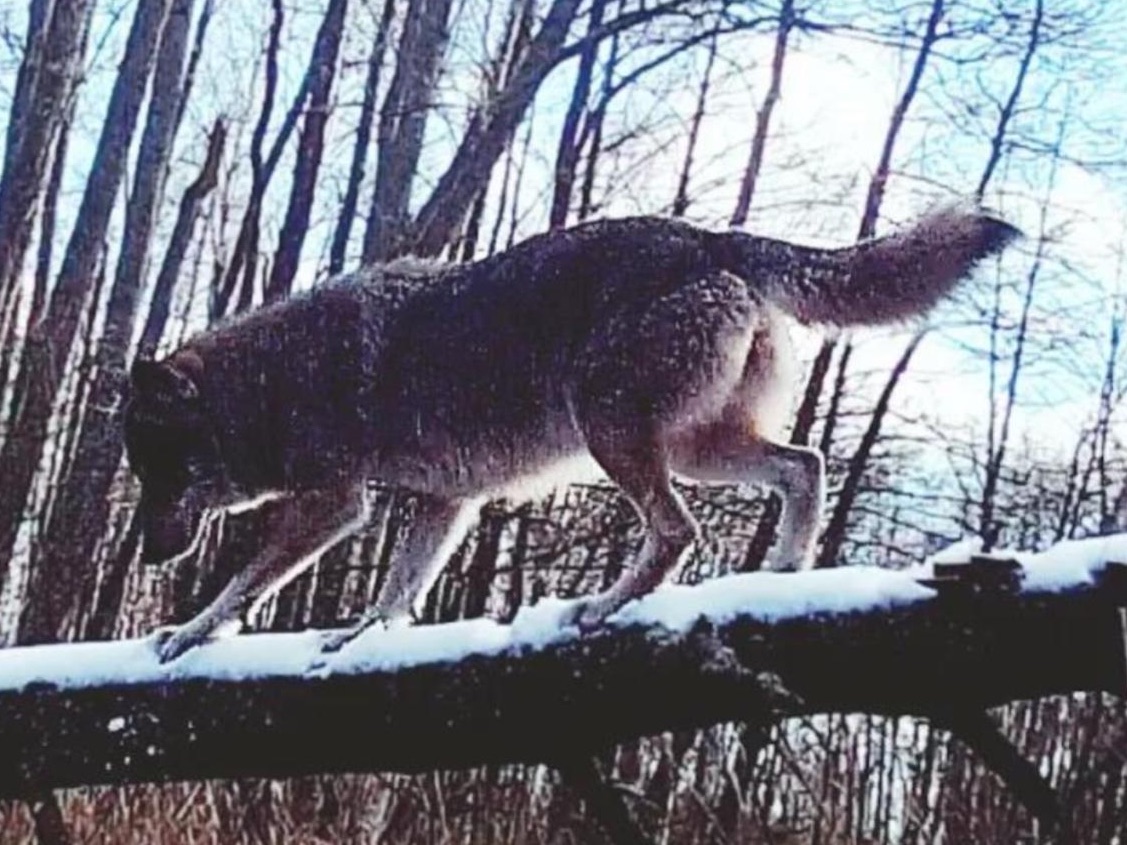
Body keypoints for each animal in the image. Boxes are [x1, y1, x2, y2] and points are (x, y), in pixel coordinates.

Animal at [125, 205, 1023, 662]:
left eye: (166, 475)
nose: (149, 555)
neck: (270, 385)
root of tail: (710, 237)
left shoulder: (334, 506)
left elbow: (241, 584)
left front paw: (189, 631)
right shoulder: (445, 502)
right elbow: (397, 592)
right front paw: (356, 638)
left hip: (617, 437)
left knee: (677, 531)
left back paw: (599, 608)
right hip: (694, 449)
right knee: (803, 464)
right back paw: (780, 573)